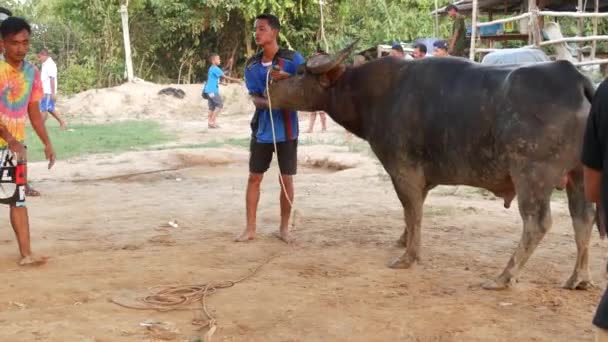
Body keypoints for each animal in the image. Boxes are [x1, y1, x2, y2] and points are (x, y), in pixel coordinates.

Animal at [268, 41, 596, 290]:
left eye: (300, 71)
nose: (269, 85)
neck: (376, 94)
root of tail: (575, 80)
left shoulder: (403, 170)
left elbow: (412, 210)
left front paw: (408, 257)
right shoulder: (420, 177)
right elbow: (413, 211)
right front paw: (404, 242)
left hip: (531, 175)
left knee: (537, 223)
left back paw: (504, 277)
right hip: (579, 176)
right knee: (583, 218)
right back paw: (578, 278)